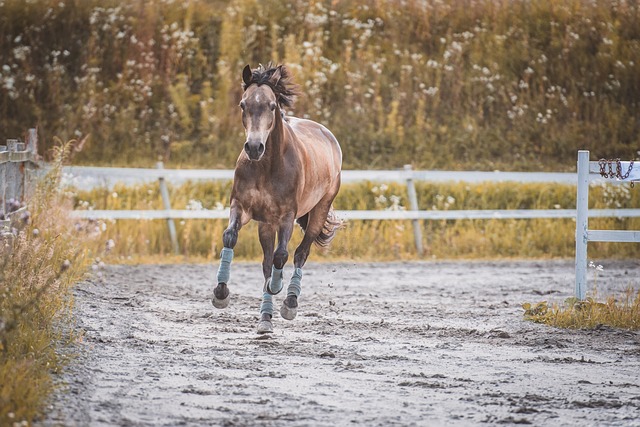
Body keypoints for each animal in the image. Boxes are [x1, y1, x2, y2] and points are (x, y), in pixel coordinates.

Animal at [212, 65, 342, 336]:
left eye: (272, 106)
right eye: (243, 104)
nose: (254, 147)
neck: (267, 166)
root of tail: (328, 136)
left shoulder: (286, 217)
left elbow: (282, 256)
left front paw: (277, 286)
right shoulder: (241, 207)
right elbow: (230, 237)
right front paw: (220, 293)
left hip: (319, 209)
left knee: (301, 253)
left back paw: (289, 302)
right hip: (266, 224)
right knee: (267, 261)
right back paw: (265, 317)